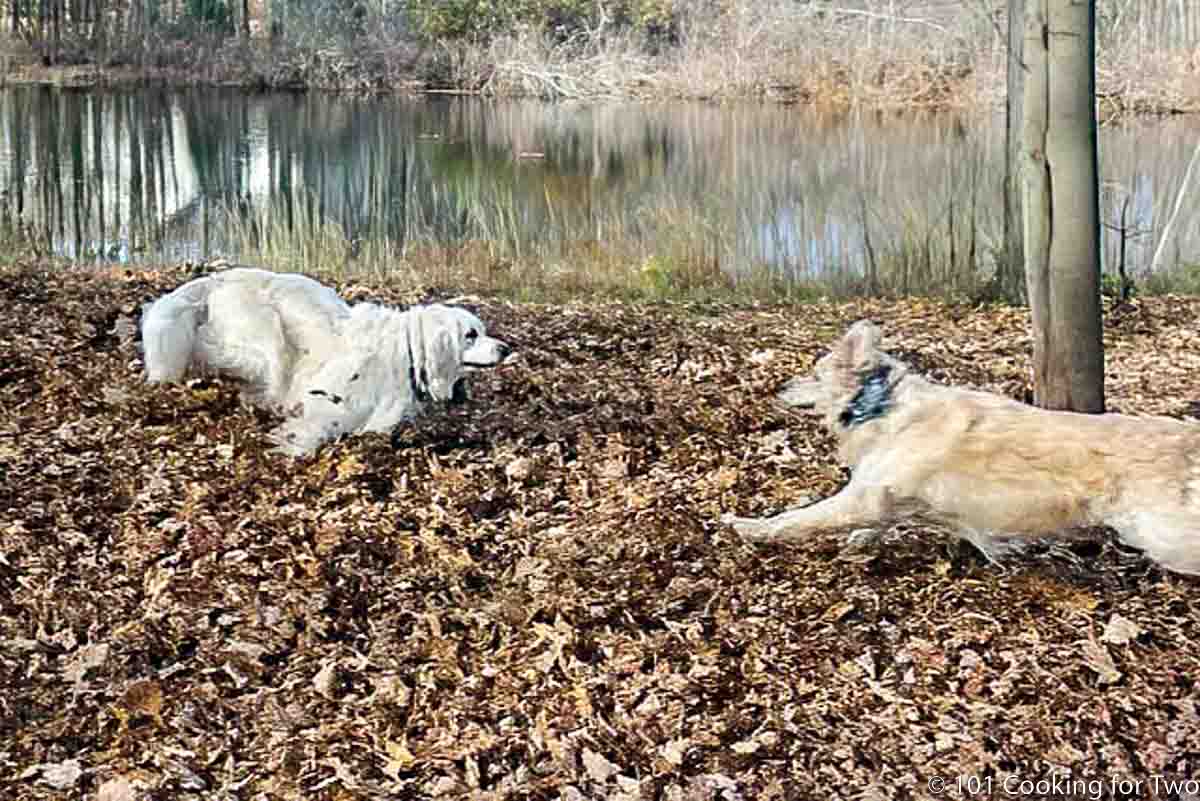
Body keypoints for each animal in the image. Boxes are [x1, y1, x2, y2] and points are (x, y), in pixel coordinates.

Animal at [140, 267, 511, 453]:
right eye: (470, 335)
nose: (506, 348)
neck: (406, 351)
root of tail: (219, 277)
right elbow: (319, 425)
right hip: (266, 335)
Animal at [720, 318, 1200, 575]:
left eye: (815, 374)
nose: (779, 388)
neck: (882, 407)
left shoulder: (863, 497)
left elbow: (795, 520)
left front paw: (749, 528)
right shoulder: (888, 498)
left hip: (1163, 536)